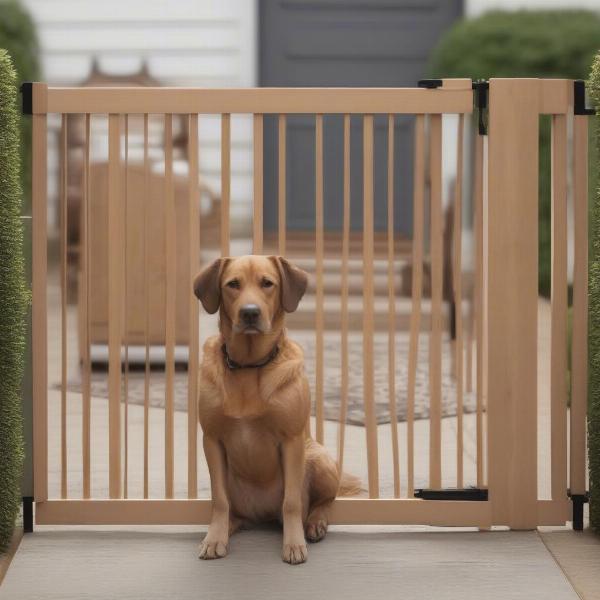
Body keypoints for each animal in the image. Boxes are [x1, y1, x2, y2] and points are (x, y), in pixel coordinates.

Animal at [195, 255, 358, 564]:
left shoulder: (291, 440)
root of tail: (262, 515)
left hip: (318, 458)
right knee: (233, 509)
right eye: (233, 284)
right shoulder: (211, 440)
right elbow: (219, 500)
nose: (249, 313)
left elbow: (292, 502)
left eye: (267, 283)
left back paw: (315, 523)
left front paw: (293, 544)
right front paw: (214, 538)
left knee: (323, 501)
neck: (249, 367)